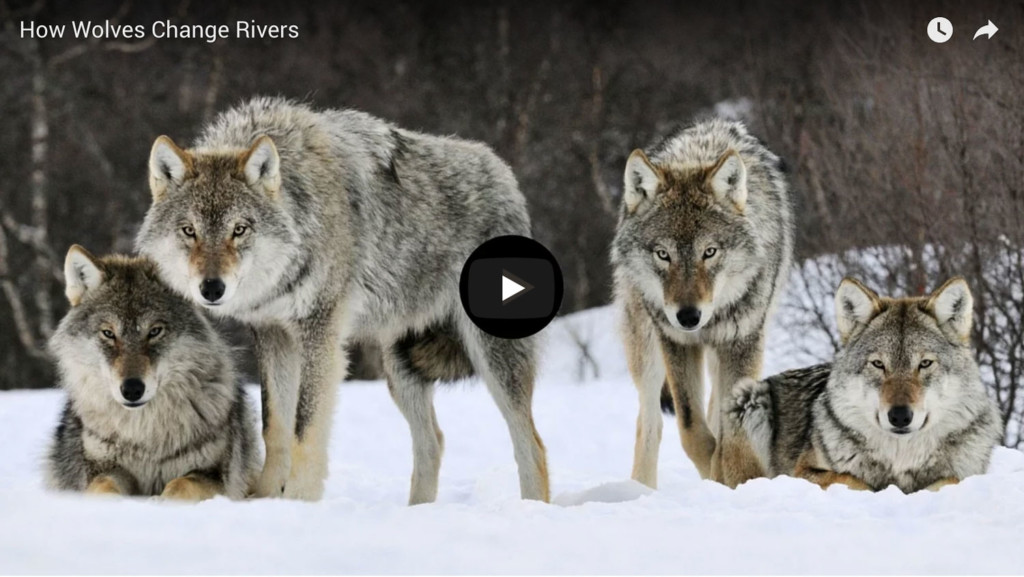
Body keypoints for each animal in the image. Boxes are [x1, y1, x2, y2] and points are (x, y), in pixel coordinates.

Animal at [46, 246, 259, 500]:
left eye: (155, 331)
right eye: (108, 333)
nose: (132, 389)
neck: (145, 435)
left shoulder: (214, 475)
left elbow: (181, 485)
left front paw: (162, 502)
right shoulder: (103, 468)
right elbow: (104, 487)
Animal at [136, 97, 549, 503]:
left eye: (239, 230)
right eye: (189, 231)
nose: (212, 288)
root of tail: (504, 174)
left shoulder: (320, 334)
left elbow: (305, 429)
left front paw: (298, 501)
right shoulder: (273, 335)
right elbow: (275, 426)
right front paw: (266, 499)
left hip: (491, 359)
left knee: (532, 445)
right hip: (400, 367)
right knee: (433, 441)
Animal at [611, 119, 793, 488]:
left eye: (709, 252)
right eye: (663, 254)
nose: (688, 316)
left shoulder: (743, 340)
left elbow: (729, 430)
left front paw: (731, 478)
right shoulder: (676, 342)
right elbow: (692, 428)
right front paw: (714, 472)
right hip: (646, 348)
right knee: (650, 422)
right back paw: (640, 489)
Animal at [730, 277, 1003, 493]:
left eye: (925, 363)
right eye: (878, 364)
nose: (900, 416)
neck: (901, 459)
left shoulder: (966, 474)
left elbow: (950, 480)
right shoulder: (803, 472)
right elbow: (853, 480)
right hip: (750, 399)